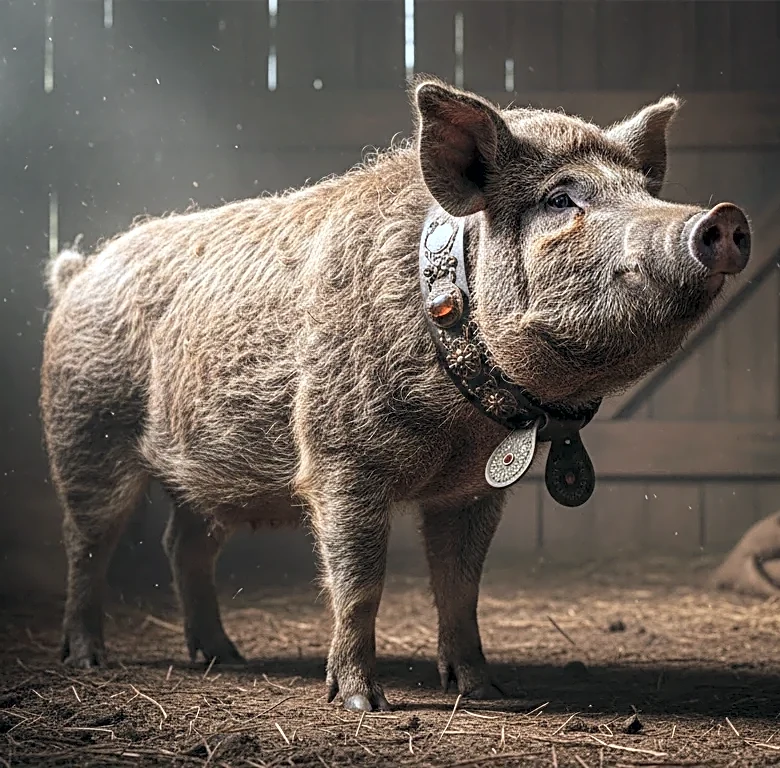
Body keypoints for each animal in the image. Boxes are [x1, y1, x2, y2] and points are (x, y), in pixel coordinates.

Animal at [40, 78, 751, 711]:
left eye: (643, 190)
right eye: (560, 199)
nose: (722, 217)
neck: (461, 418)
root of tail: (78, 272)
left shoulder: (473, 489)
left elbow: (461, 587)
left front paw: (489, 693)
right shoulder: (339, 459)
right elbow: (360, 582)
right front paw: (362, 703)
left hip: (201, 477)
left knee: (183, 545)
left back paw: (224, 657)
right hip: (86, 430)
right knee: (86, 542)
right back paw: (89, 659)